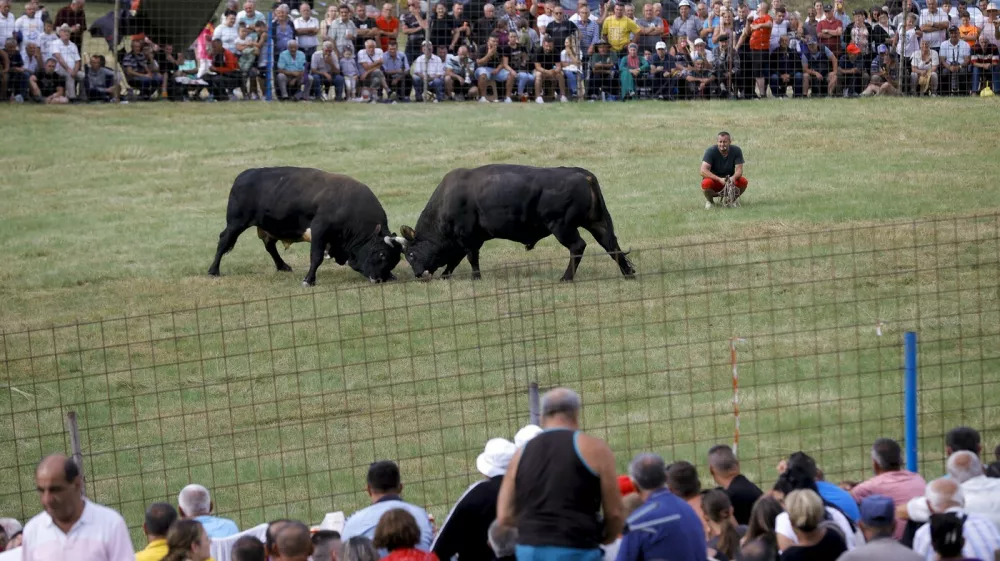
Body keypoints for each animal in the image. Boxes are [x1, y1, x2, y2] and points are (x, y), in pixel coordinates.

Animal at [207, 167, 406, 286]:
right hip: (236, 222)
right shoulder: (319, 230)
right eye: (381, 254)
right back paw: (213, 270)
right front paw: (309, 280)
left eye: (394, 259)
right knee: (224, 241)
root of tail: (244, 174)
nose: (379, 279)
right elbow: (316, 257)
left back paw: (282, 266)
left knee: (269, 246)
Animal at [399, 165, 635, 281]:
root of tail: (583, 175)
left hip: (562, 227)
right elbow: (455, 260)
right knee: (611, 245)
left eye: (410, 254)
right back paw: (628, 273)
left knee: (578, 247)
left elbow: (470, 258)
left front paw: (476, 277)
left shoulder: (467, 237)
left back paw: (566, 277)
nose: (418, 275)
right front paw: (446, 276)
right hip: (597, 223)